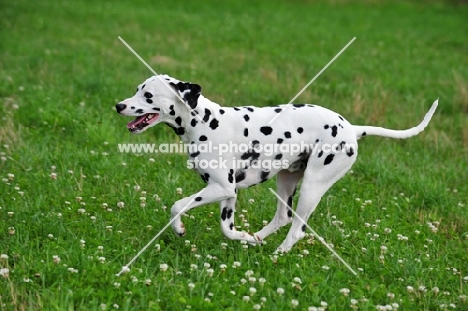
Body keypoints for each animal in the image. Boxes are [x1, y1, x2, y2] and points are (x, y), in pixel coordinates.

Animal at [115, 75, 436, 254]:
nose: (119, 105)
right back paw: (259, 238)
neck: (204, 122)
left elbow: (177, 205)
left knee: (297, 229)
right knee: (282, 218)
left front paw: (179, 229)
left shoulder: (219, 190)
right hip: (286, 181)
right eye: (137, 89)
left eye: (148, 95)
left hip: (312, 188)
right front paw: (245, 238)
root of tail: (351, 128)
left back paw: (278, 254)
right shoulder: (228, 193)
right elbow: (227, 229)